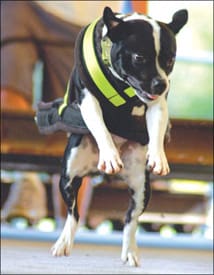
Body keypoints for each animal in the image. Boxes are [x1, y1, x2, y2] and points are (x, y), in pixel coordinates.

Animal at [50, 7, 187, 268]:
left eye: (170, 60)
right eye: (139, 58)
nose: (160, 84)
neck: (121, 85)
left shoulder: (157, 104)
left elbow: (156, 127)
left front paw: (158, 157)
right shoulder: (88, 99)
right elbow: (100, 126)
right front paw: (110, 155)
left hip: (141, 187)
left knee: (130, 220)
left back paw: (130, 251)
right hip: (69, 176)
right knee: (73, 214)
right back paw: (63, 243)